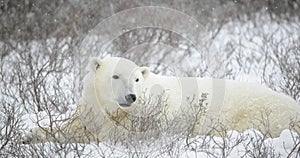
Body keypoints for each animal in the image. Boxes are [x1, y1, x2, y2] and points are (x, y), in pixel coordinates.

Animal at [22, 56, 300, 143]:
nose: (131, 96)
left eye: (136, 78)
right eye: (115, 75)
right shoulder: (91, 108)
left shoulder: (147, 119)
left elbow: (112, 135)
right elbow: (75, 125)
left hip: (260, 113)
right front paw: (30, 135)